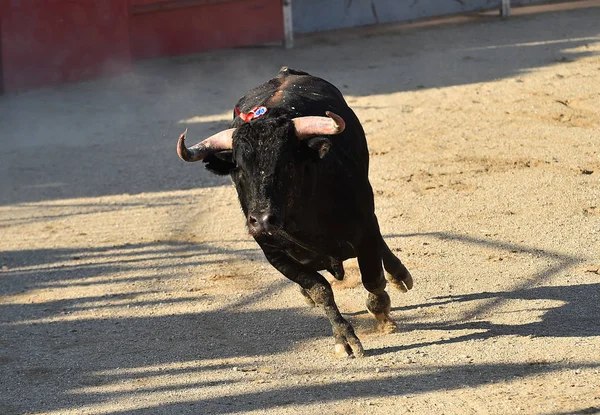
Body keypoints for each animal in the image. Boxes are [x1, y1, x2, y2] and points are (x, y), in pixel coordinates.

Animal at [178, 67, 412, 358]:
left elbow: (372, 278)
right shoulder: (275, 255)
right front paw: (344, 338)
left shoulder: (365, 228)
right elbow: (321, 290)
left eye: (287, 163)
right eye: (238, 169)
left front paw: (381, 314)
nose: (262, 221)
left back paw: (399, 275)